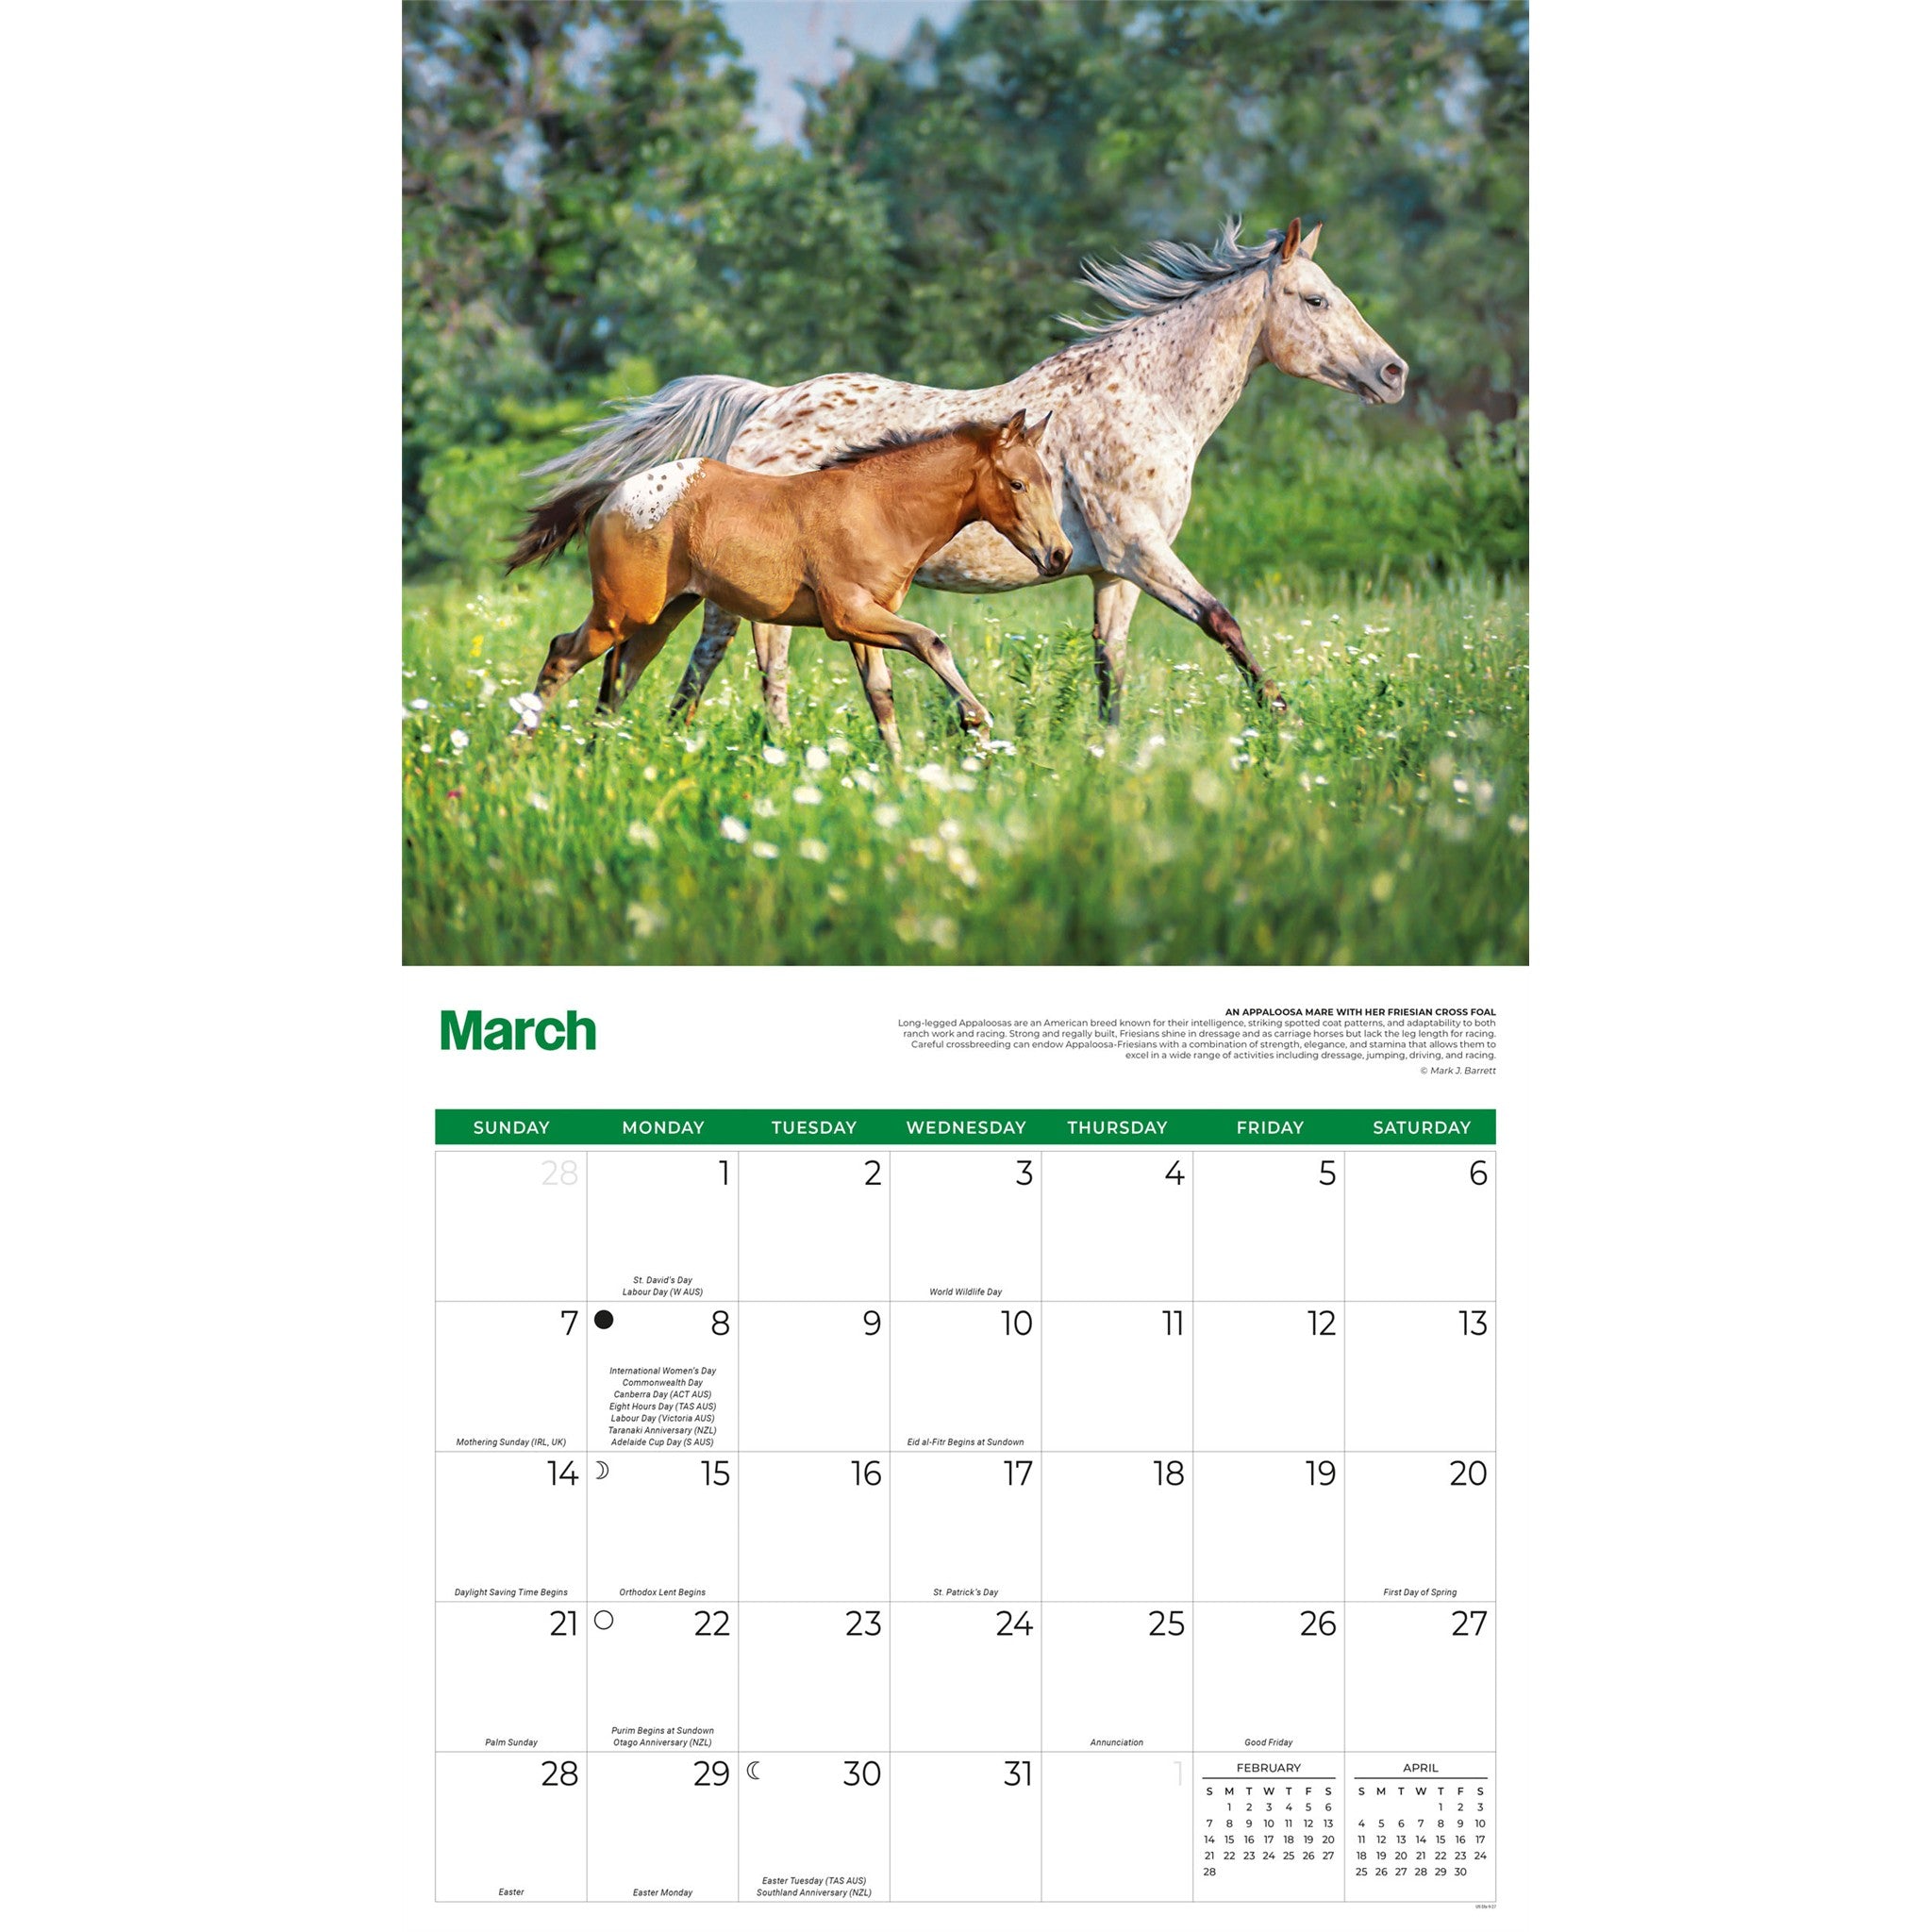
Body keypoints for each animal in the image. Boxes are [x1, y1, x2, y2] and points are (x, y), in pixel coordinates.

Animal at [503, 412, 1069, 741]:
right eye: (1017, 483)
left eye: (1047, 478)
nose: (1059, 554)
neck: (880, 509)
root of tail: (616, 492)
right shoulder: (849, 616)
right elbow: (932, 643)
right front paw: (975, 719)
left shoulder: (866, 624)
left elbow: (880, 697)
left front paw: (899, 776)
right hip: (623, 610)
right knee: (564, 654)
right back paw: (519, 749)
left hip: (663, 613)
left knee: (620, 673)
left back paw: (597, 755)